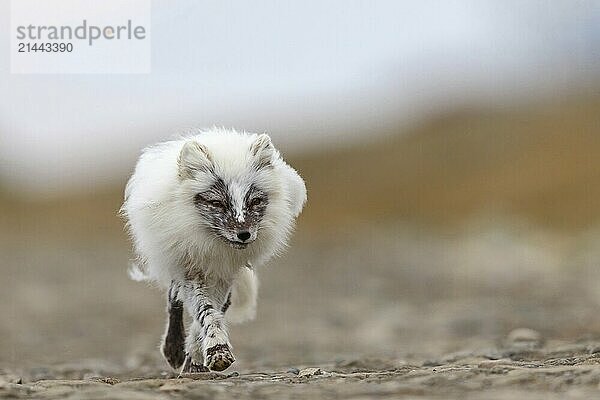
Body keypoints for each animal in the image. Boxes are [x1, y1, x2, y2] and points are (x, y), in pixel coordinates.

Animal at [122, 130, 310, 374]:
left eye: (255, 201)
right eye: (217, 203)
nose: (244, 234)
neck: (215, 246)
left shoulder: (224, 274)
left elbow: (209, 315)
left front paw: (199, 356)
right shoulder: (192, 270)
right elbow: (206, 311)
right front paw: (214, 350)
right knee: (173, 300)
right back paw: (173, 349)